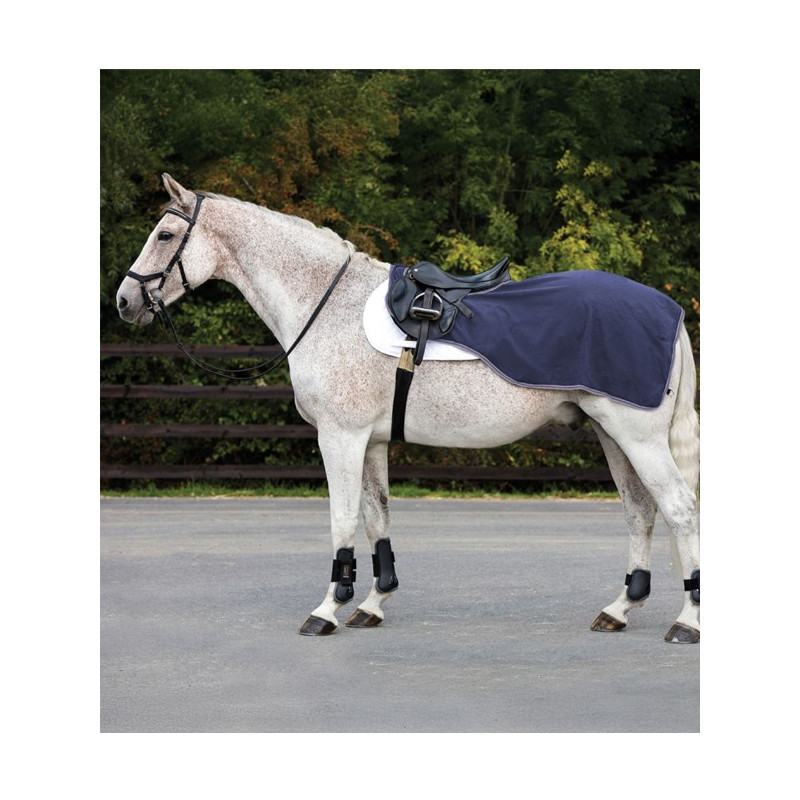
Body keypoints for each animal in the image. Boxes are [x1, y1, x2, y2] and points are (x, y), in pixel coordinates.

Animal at [115, 173, 700, 644]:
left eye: (165, 235)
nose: (124, 301)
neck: (329, 305)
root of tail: (667, 308)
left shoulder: (341, 437)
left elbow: (342, 519)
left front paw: (327, 610)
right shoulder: (370, 441)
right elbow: (377, 518)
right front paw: (373, 603)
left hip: (637, 437)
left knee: (679, 510)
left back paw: (687, 622)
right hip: (611, 434)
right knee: (640, 512)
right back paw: (619, 609)